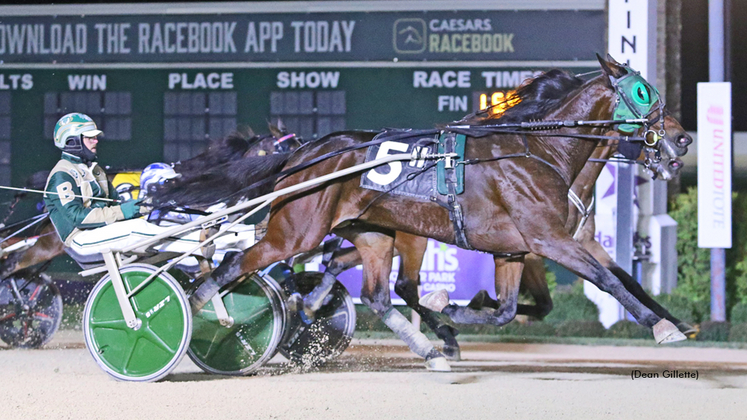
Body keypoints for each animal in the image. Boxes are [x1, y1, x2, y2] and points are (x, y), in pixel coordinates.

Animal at [188, 55, 696, 370]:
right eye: (642, 92)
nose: (683, 138)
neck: (541, 151)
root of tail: (305, 153)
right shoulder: (548, 240)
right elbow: (610, 280)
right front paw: (662, 327)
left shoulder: (516, 251)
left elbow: (507, 311)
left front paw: (451, 308)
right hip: (299, 232)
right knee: (237, 263)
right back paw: (196, 311)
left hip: (374, 234)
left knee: (376, 294)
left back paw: (427, 349)